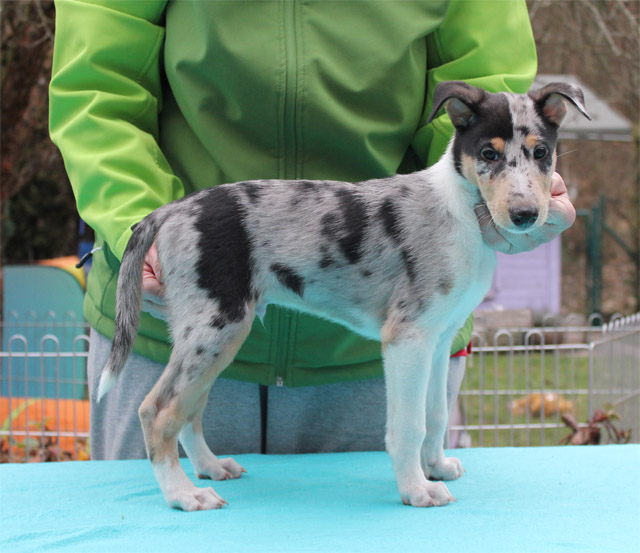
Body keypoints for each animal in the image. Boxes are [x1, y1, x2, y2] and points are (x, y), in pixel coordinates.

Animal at [97, 81, 590, 510]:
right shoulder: (407, 339)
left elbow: (436, 416)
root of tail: (172, 210)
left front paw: (435, 467)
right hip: (215, 328)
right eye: (488, 153)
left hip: (211, 335)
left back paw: (210, 468)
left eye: (541, 152)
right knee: (157, 411)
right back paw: (183, 495)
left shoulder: (439, 341)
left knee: (189, 412)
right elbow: (407, 426)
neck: (462, 211)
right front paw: (416, 490)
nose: (525, 215)